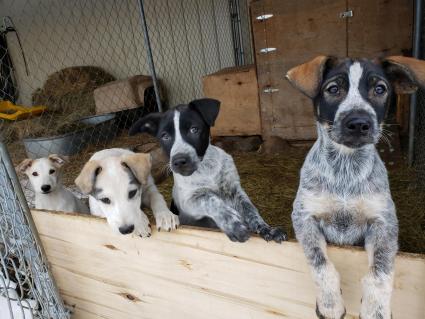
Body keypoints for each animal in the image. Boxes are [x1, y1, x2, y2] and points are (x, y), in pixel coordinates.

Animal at [129, 99, 284, 244]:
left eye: (194, 129)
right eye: (165, 136)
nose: (179, 161)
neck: (206, 168)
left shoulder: (236, 191)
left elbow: (251, 210)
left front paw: (266, 229)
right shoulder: (189, 201)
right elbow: (210, 199)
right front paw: (233, 224)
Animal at [284, 56, 424, 319]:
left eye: (379, 89)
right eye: (333, 89)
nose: (359, 123)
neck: (345, 168)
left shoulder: (384, 222)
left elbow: (379, 273)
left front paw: (376, 310)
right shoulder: (304, 216)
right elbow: (321, 265)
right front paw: (330, 305)